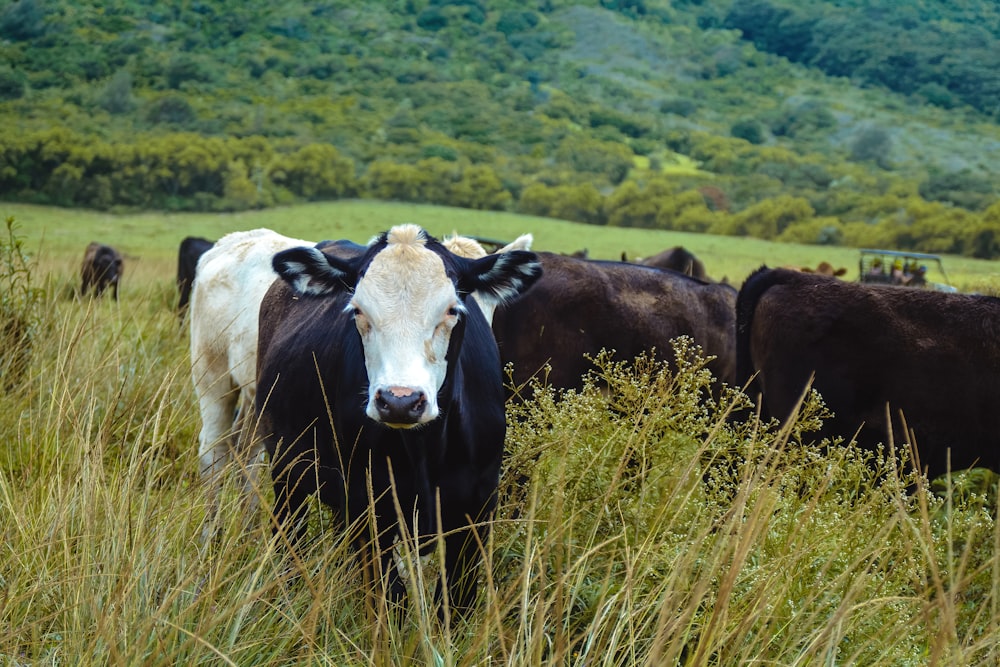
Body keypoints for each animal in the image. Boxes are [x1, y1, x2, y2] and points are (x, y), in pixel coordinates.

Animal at [254, 224, 544, 616]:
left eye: (453, 309)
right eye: (357, 310)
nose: (400, 401)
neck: (426, 452)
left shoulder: (478, 509)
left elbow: (455, 604)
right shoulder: (367, 509)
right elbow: (391, 599)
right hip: (288, 472)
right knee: (289, 537)